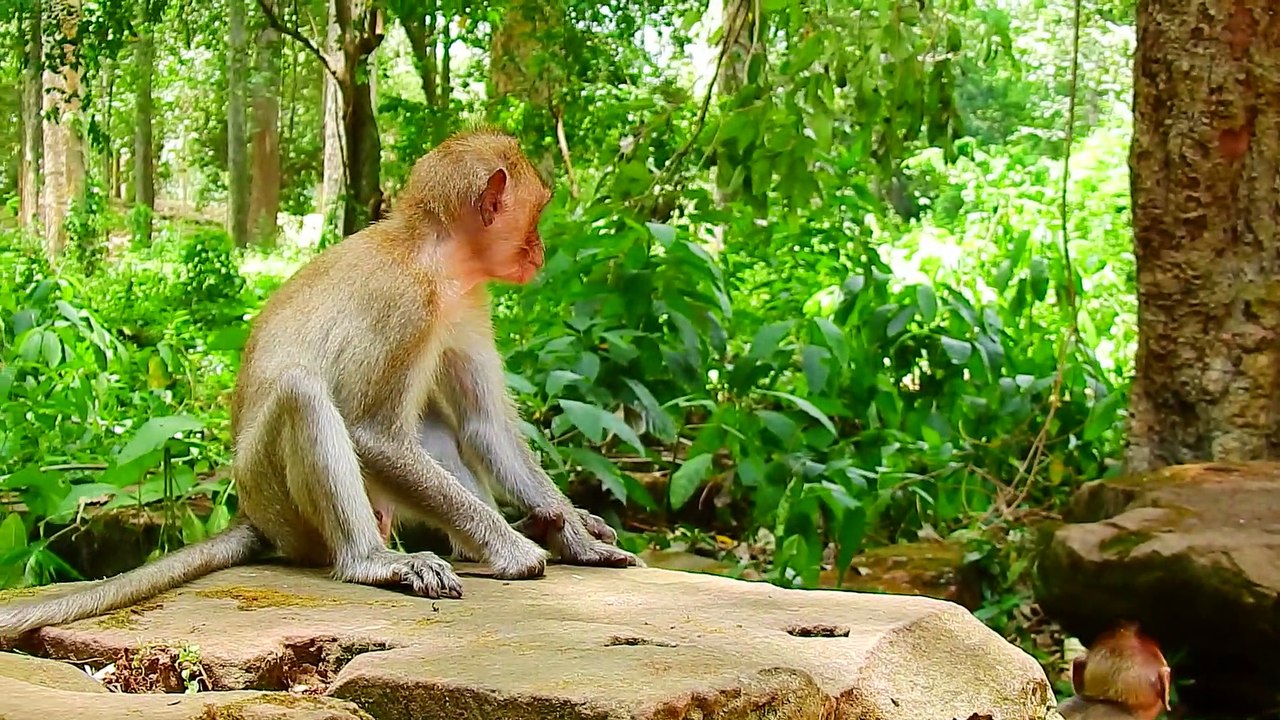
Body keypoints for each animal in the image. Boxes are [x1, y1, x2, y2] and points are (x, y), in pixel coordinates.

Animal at [0, 127, 640, 637]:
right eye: (535, 215)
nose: (541, 251)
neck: (433, 258)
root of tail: (251, 515)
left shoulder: (467, 303)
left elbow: (486, 427)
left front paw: (573, 533)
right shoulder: (407, 305)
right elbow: (373, 434)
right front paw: (515, 547)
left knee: (434, 423)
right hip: (283, 505)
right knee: (302, 395)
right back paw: (373, 561)